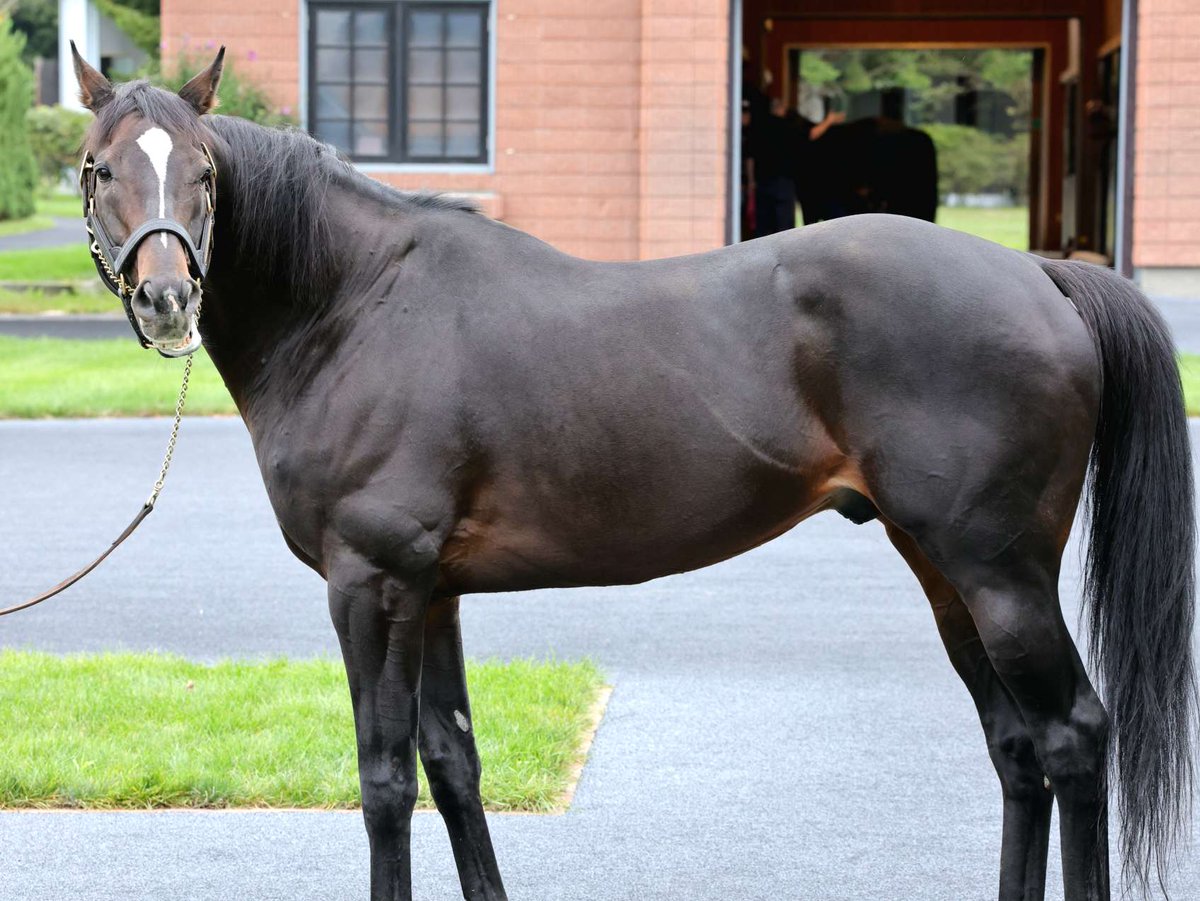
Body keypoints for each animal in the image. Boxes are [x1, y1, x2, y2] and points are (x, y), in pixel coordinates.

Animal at [68, 47, 1195, 901]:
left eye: (204, 170)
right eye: (97, 168)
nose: (167, 297)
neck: (357, 304)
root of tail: (1038, 271)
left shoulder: (371, 584)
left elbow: (385, 779)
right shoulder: (431, 594)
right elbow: (455, 762)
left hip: (1001, 576)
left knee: (1072, 737)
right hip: (946, 571)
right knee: (1017, 749)